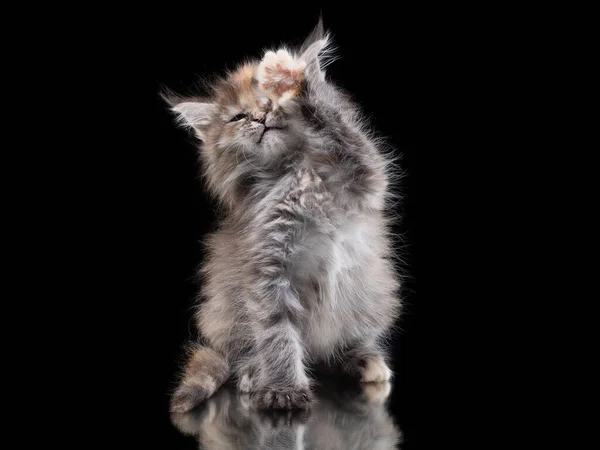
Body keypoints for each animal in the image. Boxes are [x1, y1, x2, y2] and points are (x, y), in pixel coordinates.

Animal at [163, 21, 404, 414]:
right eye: (239, 117)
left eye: (270, 102)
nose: (260, 116)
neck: (293, 172)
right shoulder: (268, 266)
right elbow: (277, 333)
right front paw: (283, 390)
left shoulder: (364, 174)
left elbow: (342, 134)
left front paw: (293, 80)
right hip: (224, 311)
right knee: (242, 352)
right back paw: (251, 374)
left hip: (372, 298)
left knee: (343, 349)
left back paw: (365, 361)